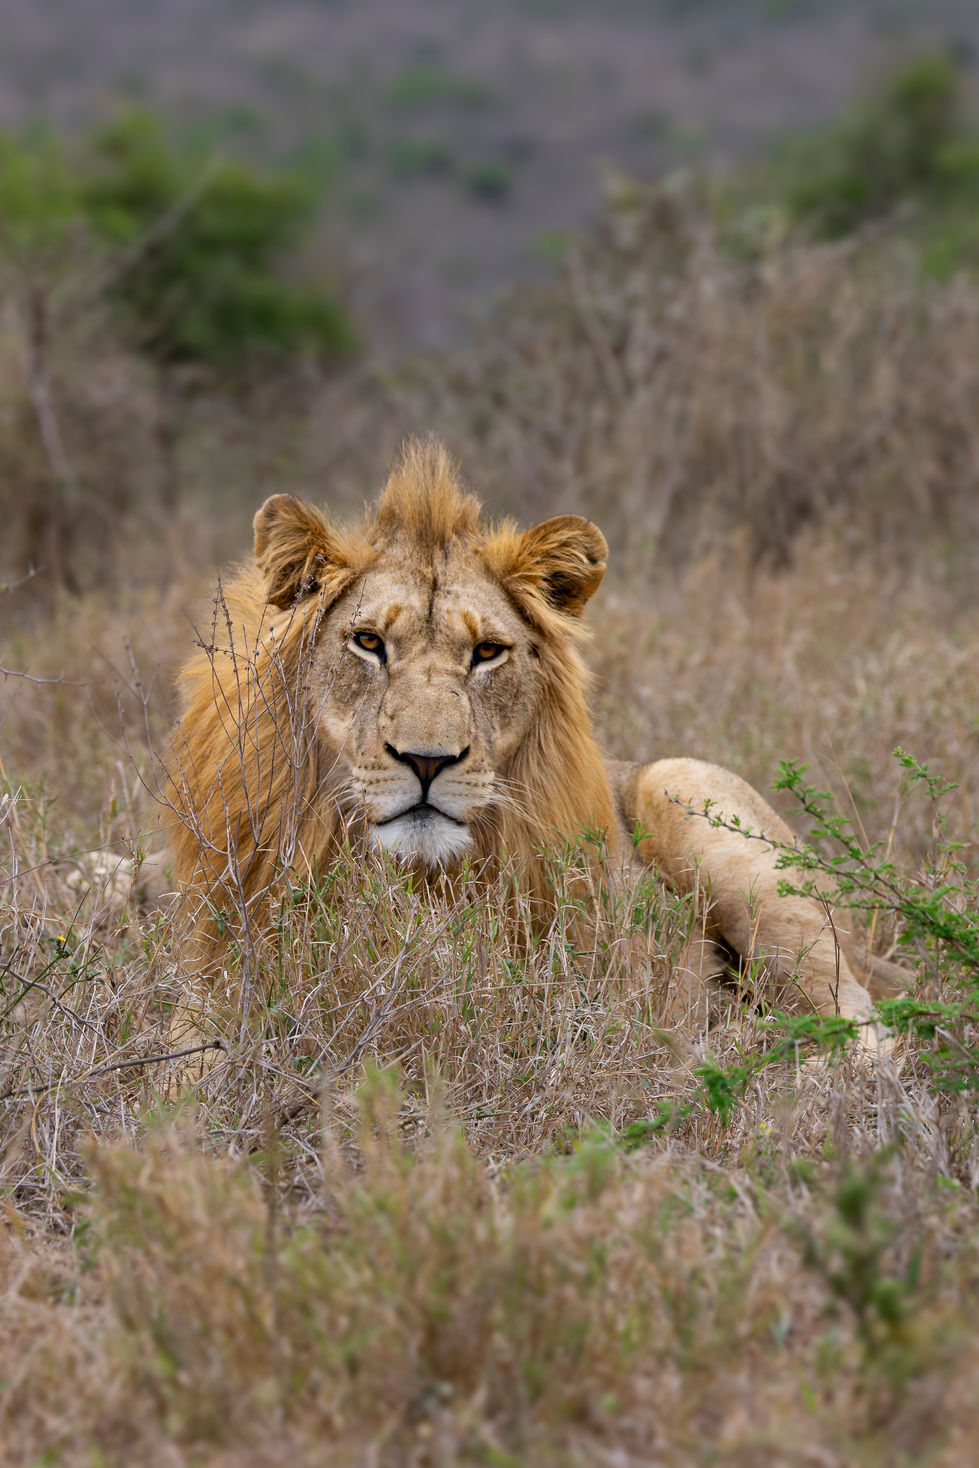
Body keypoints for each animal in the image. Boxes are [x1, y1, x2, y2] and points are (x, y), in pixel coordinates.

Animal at [166, 438, 887, 1060]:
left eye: (487, 652)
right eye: (368, 642)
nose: (427, 761)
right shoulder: (213, 988)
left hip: (685, 796)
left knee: (864, 1035)